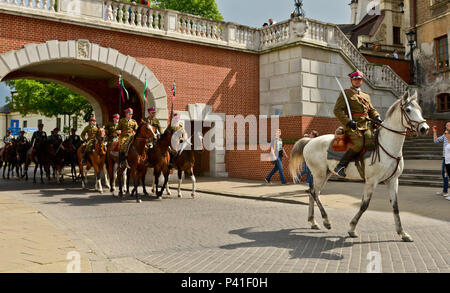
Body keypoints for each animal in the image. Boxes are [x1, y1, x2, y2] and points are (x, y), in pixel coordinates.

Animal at [290, 92, 430, 242]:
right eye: (408, 110)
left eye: (420, 110)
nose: (425, 128)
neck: (387, 145)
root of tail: (310, 141)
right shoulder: (371, 181)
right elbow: (364, 205)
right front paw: (352, 228)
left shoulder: (393, 180)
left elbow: (395, 206)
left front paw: (402, 233)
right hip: (319, 174)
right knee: (314, 193)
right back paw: (326, 221)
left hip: (324, 174)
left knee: (312, 193)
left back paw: (313, 222)